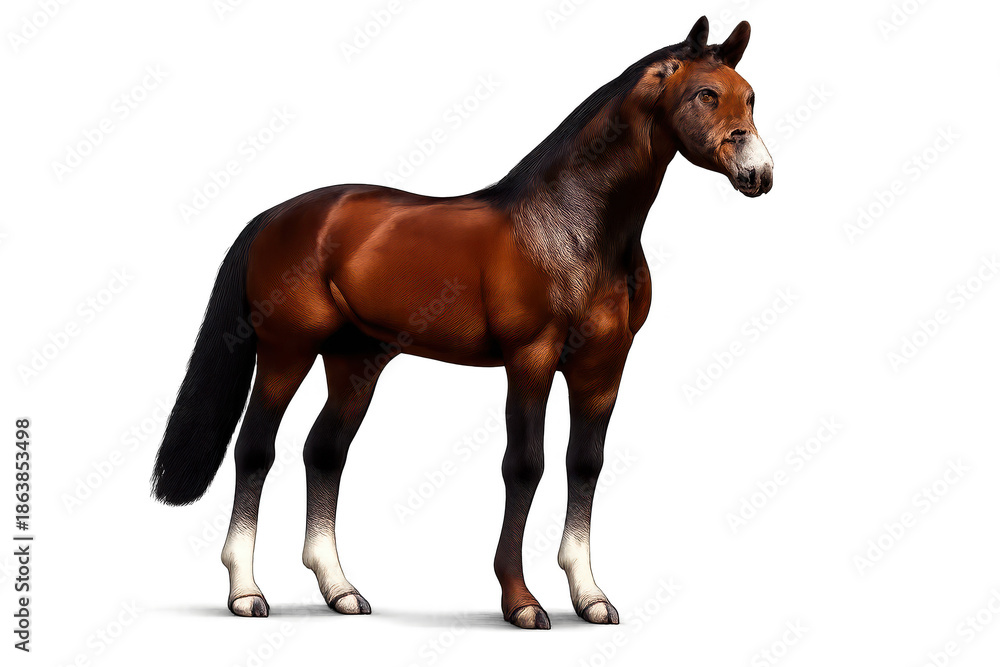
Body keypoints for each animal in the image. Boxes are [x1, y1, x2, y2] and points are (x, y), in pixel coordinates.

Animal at [152, 16, 773, 629]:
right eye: (706, 94)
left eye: (750, 97)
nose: (759, 174)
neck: (572, 226)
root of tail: (275, 216)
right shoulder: (531, 358)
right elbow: (525, 466)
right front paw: (522, 602)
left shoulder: (603, 366)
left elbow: (585, 465)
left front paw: (590, 597)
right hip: (287, 352)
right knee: (256, 449)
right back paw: (245, 592)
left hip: (355, 361)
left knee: (324, 452)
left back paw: (341, 591)